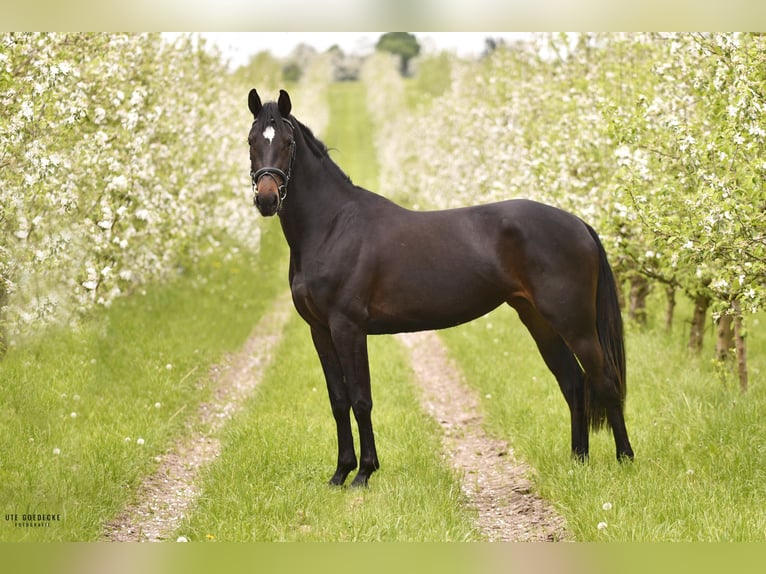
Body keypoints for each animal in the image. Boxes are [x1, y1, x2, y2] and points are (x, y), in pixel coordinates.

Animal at [248, 88, 636, 488]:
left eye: (288, 142)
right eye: (251, 141)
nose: (267, 199)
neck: (333, 225)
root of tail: (578, 224)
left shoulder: (348, 327)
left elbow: (361, 398)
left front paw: (364, 473)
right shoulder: (320, 330)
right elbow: (339, 400)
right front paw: (340, 473)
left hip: (575, 323)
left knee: (605, 380)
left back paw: (625, 459)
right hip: (539, 320)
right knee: (573, 382)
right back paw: (579, 461)